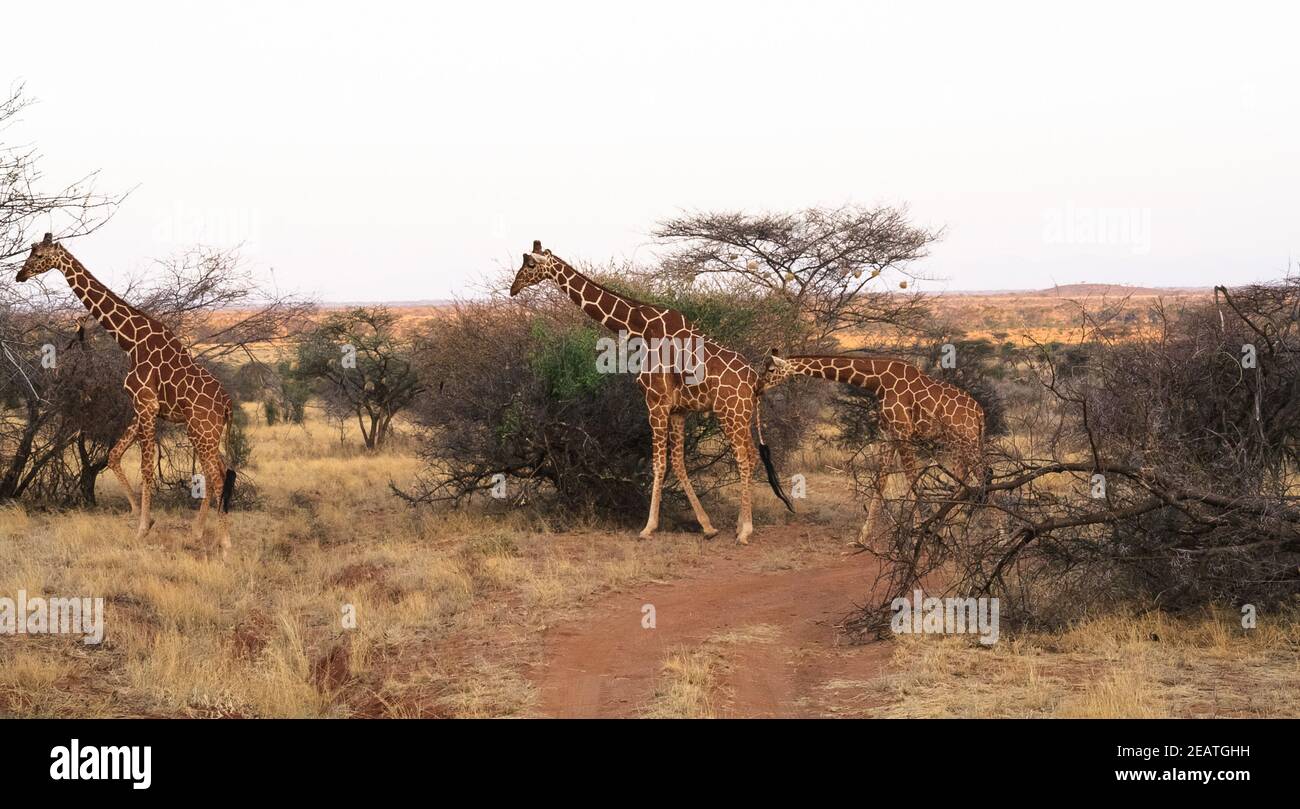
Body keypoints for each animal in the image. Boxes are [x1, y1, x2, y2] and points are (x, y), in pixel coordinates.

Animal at [15, 236, 236, 556]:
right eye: (31, 253)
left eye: (40, 256)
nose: (20, 275)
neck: (131, 340)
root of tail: (228, 404)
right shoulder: (142, 407)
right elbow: (114, 455)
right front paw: (145, 518)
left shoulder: (146, 404)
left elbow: (145, 468)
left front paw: (143, 528)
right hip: (203, 431)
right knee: (219, 470)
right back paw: (198, 533)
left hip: (202, 429)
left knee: (217, 474)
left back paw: (224, 542)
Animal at [509, 240, 790, 546]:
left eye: (530, 265)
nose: (513, 288)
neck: (639, 328)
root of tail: (754, 381)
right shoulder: (678, 410)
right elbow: (677, 462)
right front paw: (707, 526)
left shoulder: (655, 402)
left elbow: (658, 463)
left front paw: (648, 527)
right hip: (742, 415)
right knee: (751, 455)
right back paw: (740, 524)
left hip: (730, 413)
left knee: (744, 458)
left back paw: (746, 530)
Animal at [759, 351, 977, 535]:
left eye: (771, 370)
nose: (757, 388)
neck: (878, 381)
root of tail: (980, 414)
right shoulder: (889, 434)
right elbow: (880, 481)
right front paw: (863, 536)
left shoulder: (903, 431)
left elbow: (911, 478)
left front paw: (917, 528)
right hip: (961, 447)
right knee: (967, 482)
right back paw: (952, 528)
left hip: (966, 444)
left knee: (976, 480)